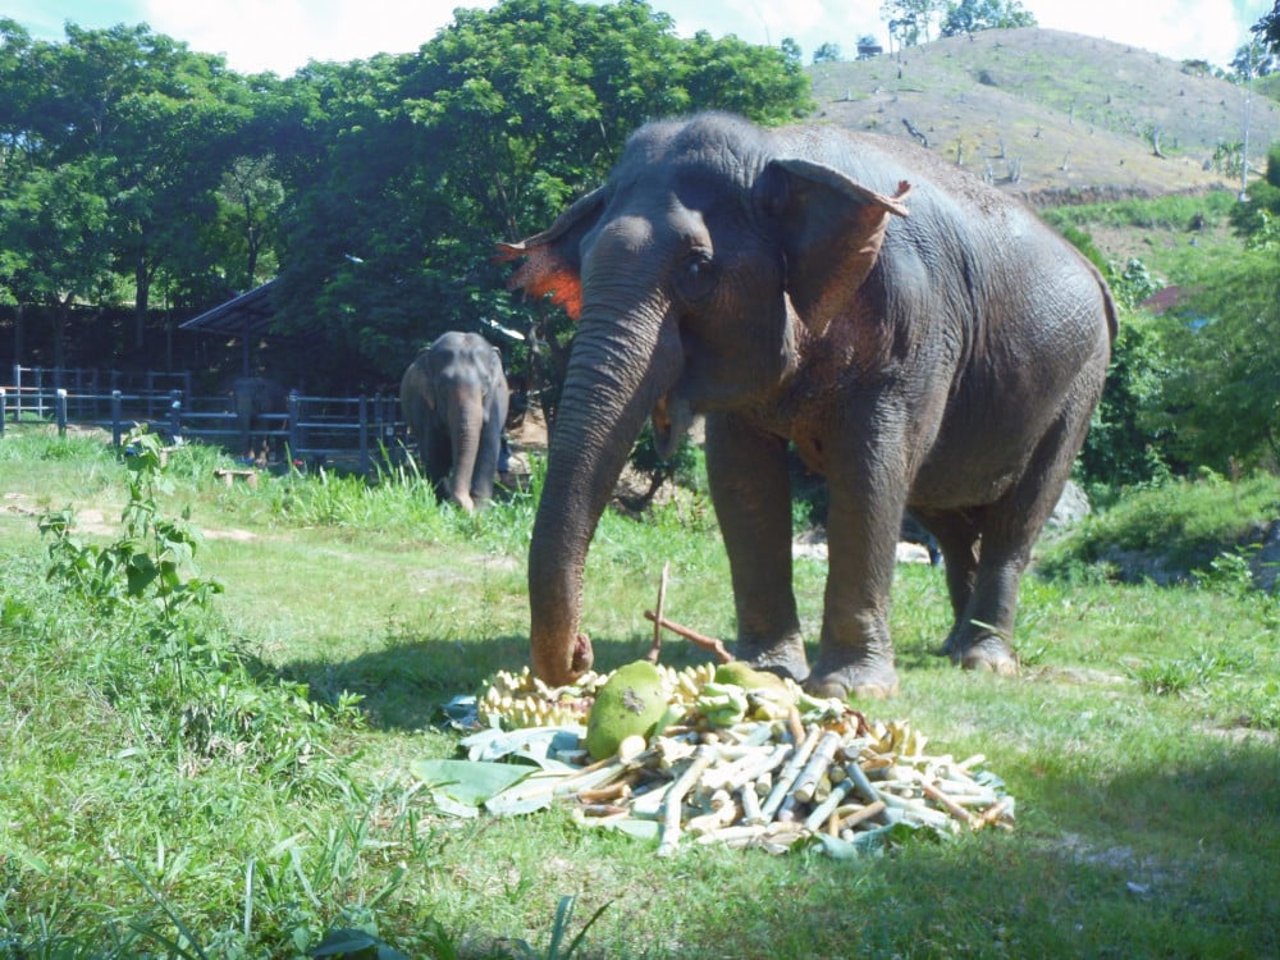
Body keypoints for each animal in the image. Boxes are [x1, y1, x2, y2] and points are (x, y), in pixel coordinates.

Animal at [399, 330, 509, 512]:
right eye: (442, 387)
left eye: (485, 385)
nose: (464, 503)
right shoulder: (426, 408)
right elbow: (434, 451)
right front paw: (443, 505)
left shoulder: (495, 404)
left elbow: (489, 448)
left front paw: (480, 510)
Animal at [494, 112, 1116, 701]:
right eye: (584, 261)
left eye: (696, 269)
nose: (582, 654)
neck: (776, 152)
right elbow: (742, 477)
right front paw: (763, 669)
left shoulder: (915, 325)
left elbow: (871, 470)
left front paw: (851, 688)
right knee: (949, 518)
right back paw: (951, 646)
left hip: (1080, 384)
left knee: (1019, 515)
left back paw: (983, 660)